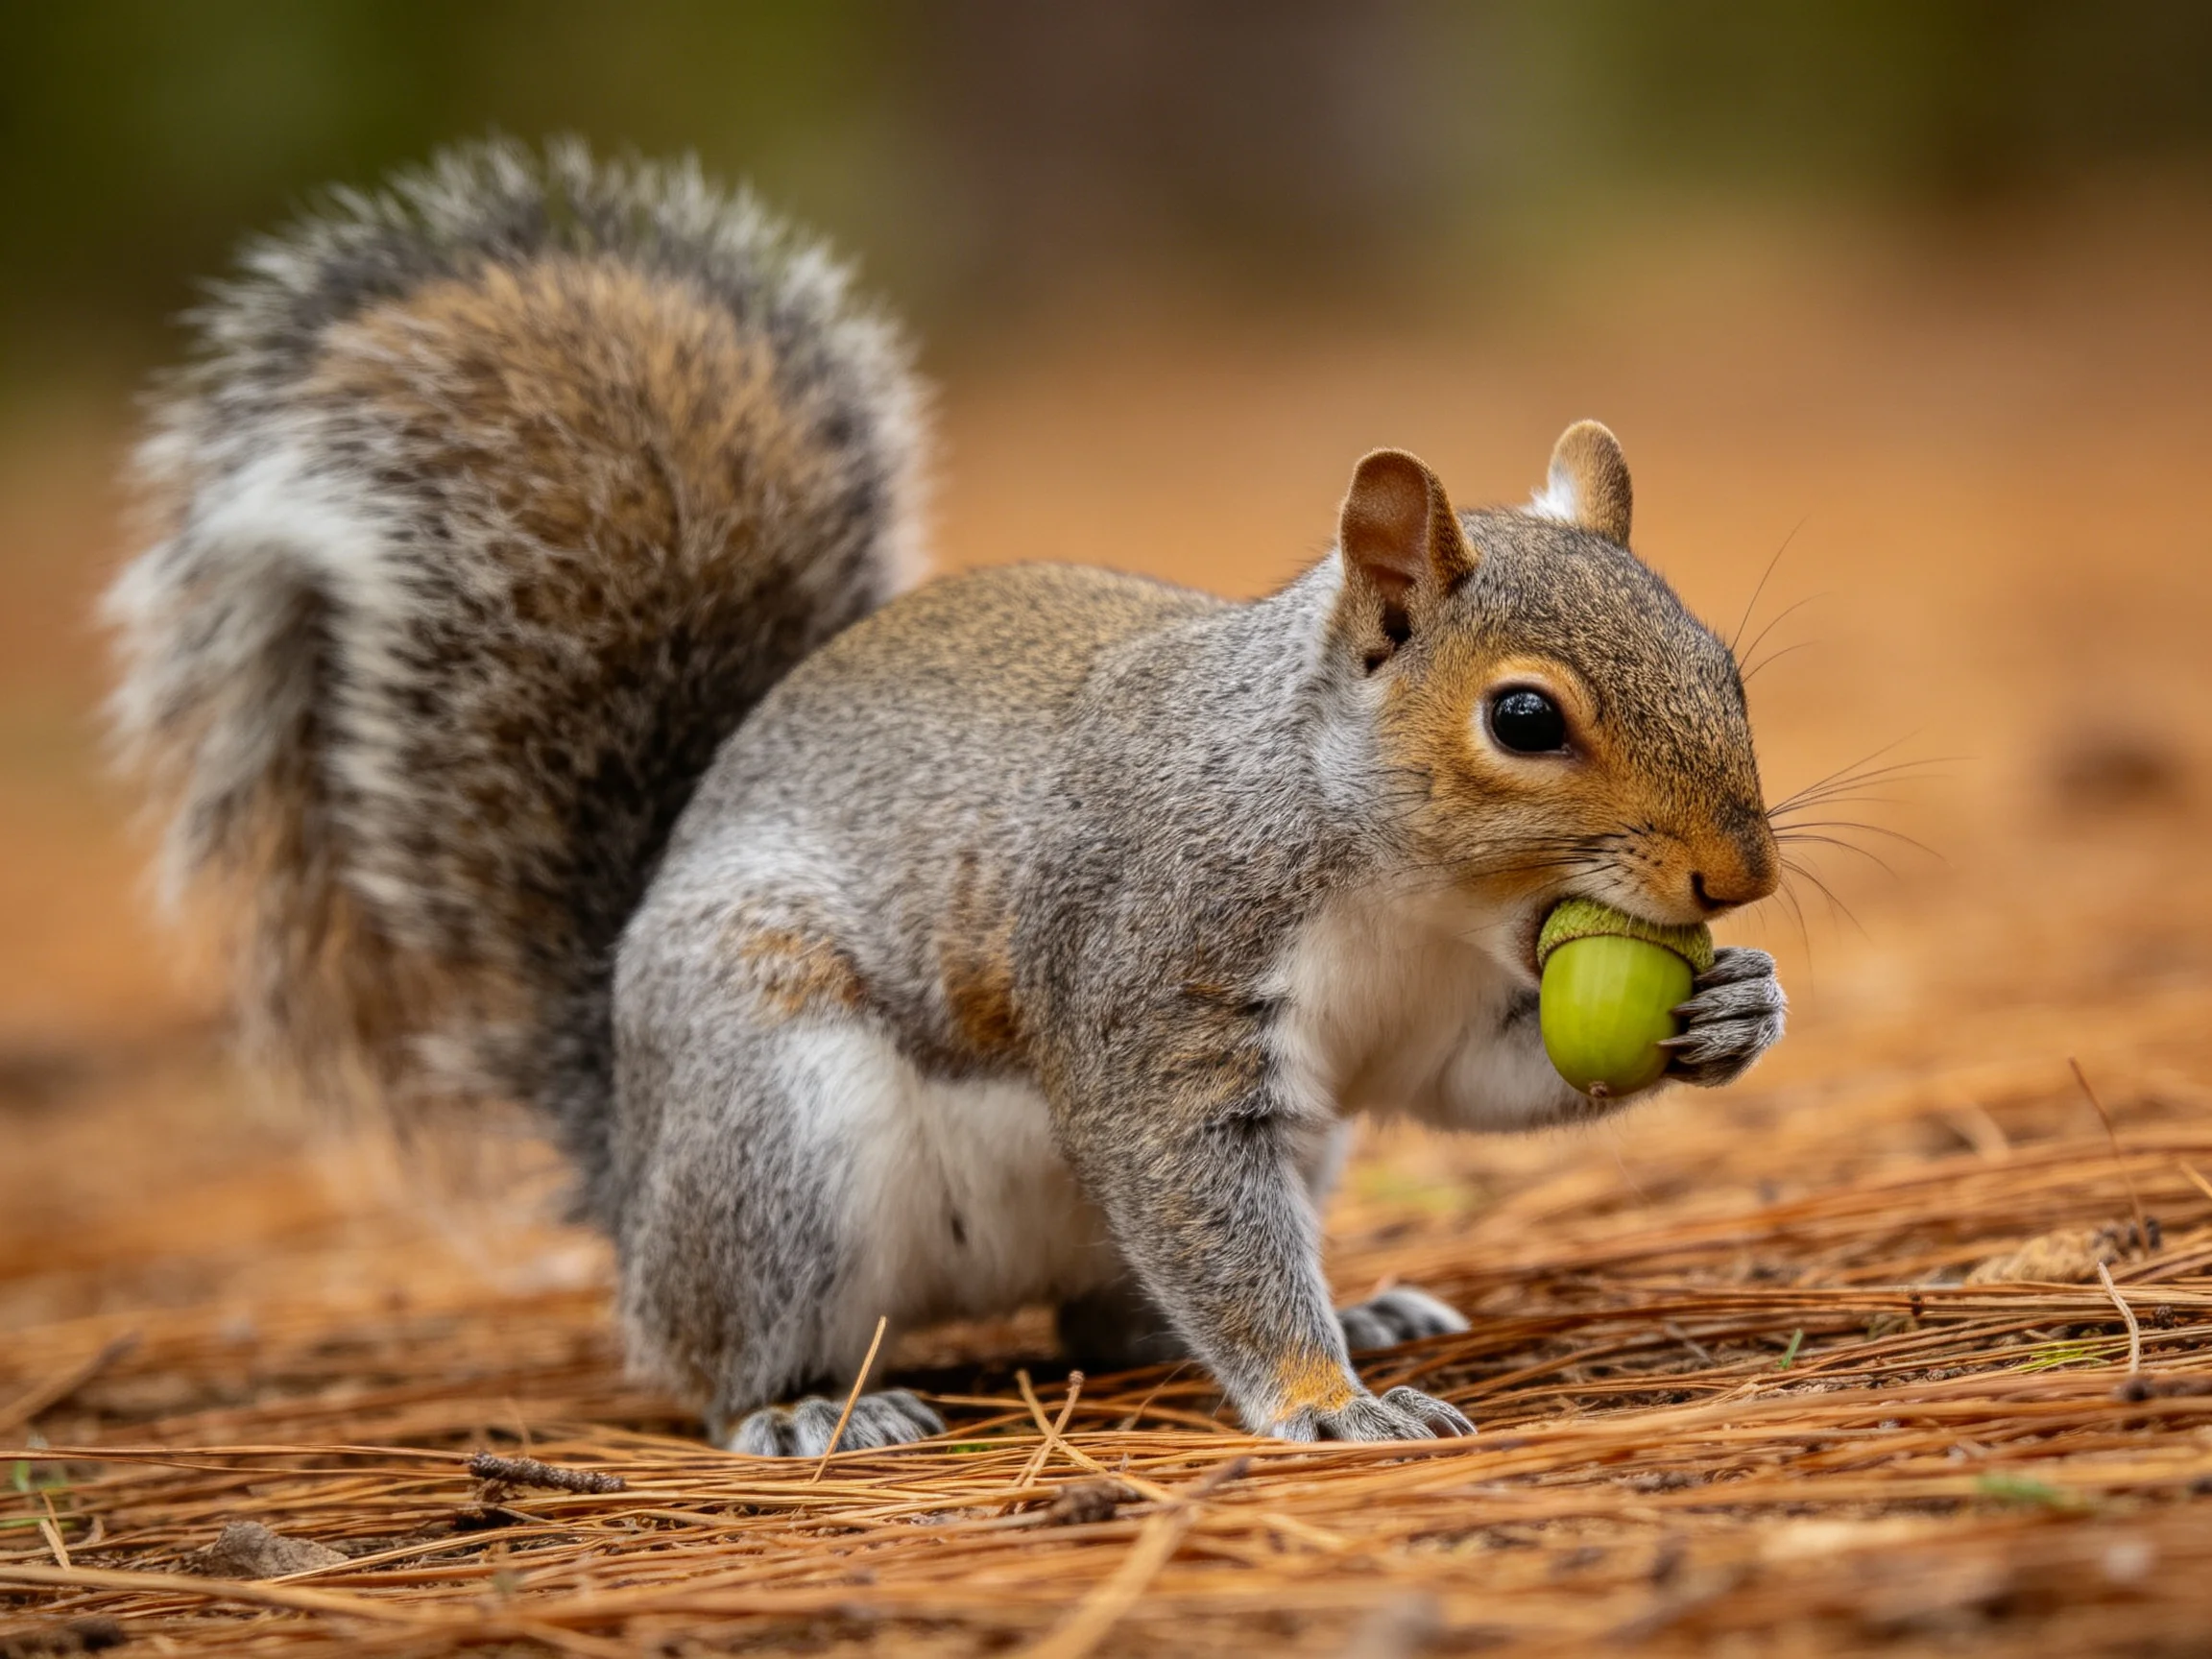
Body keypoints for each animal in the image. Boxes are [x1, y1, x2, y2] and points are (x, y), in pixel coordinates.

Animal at [107, 140, 1786, 1455]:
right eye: (1524, 718)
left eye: (1726, 665)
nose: (1739, 883)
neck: (1405, 885)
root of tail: (632, 1158)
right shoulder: (1153, 974)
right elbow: (1197, 1196)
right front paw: (1323, 1404)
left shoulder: (1432, 1016)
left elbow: (1478, 1083)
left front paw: (1735, 1009)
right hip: (773, 1130)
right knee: (715, 1349)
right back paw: (801, 1412)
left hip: (1268, 1161)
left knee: (1114, 1316)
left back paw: (1352, 1307)